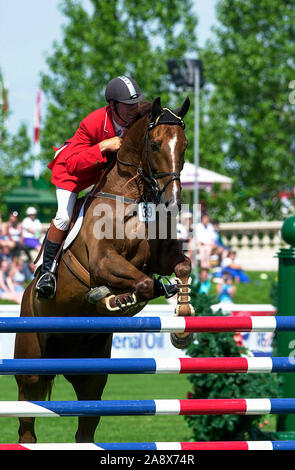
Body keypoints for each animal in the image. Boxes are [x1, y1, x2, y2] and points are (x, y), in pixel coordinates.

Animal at [15, 96, 197, 444]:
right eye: (155, 144)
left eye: (184, 145)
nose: (173, 202)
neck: (131, 198)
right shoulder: (103, 262)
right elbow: (142, 284)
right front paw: (115, 299)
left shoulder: (161, 258)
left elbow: (181, 267)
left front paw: (182, 322)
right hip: (30, 368)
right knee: (26, 423)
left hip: (91, 375)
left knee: (86, 426)